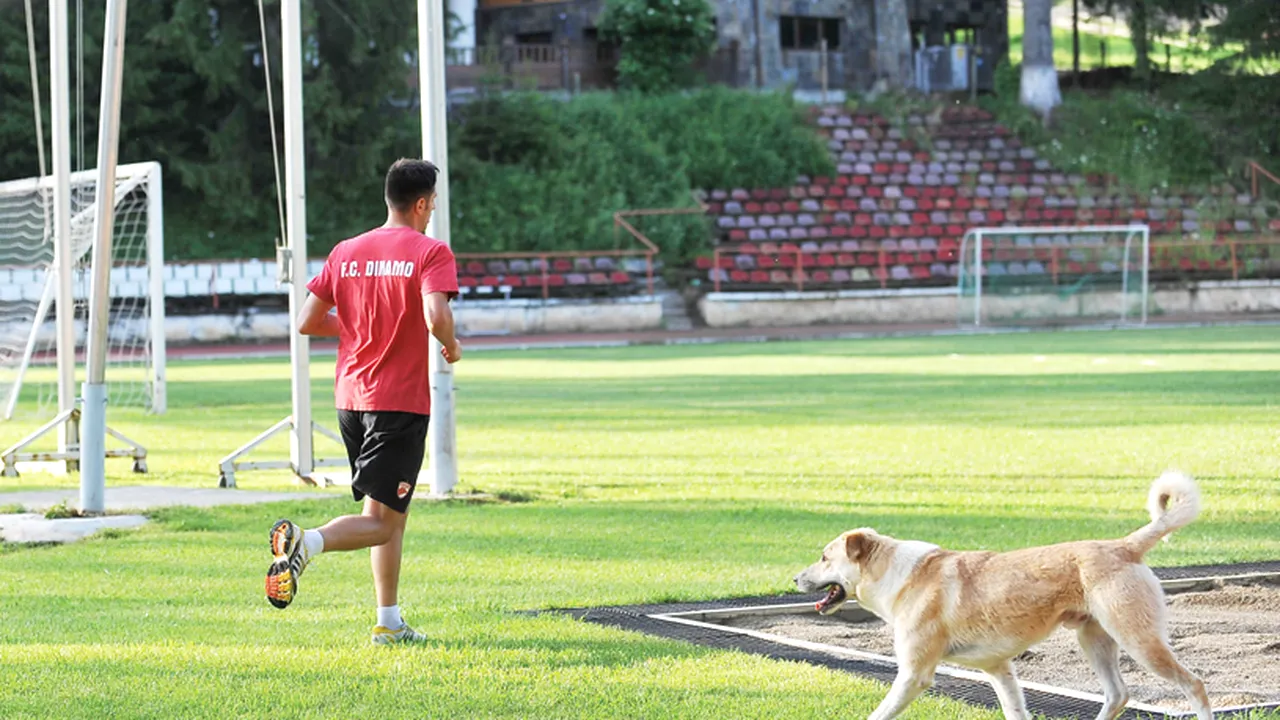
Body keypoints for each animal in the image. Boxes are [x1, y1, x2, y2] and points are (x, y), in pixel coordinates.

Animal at [793, 471, 1213, 717]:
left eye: (824, 557)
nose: (795, 578)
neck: (903, 574)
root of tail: (1124, 546)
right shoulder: (999, 669)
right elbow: (1015, 710)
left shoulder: (914, 675)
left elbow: (880, 714)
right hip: (1094, 639)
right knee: (1118, 695)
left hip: (1138, 640)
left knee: (1193, 684)